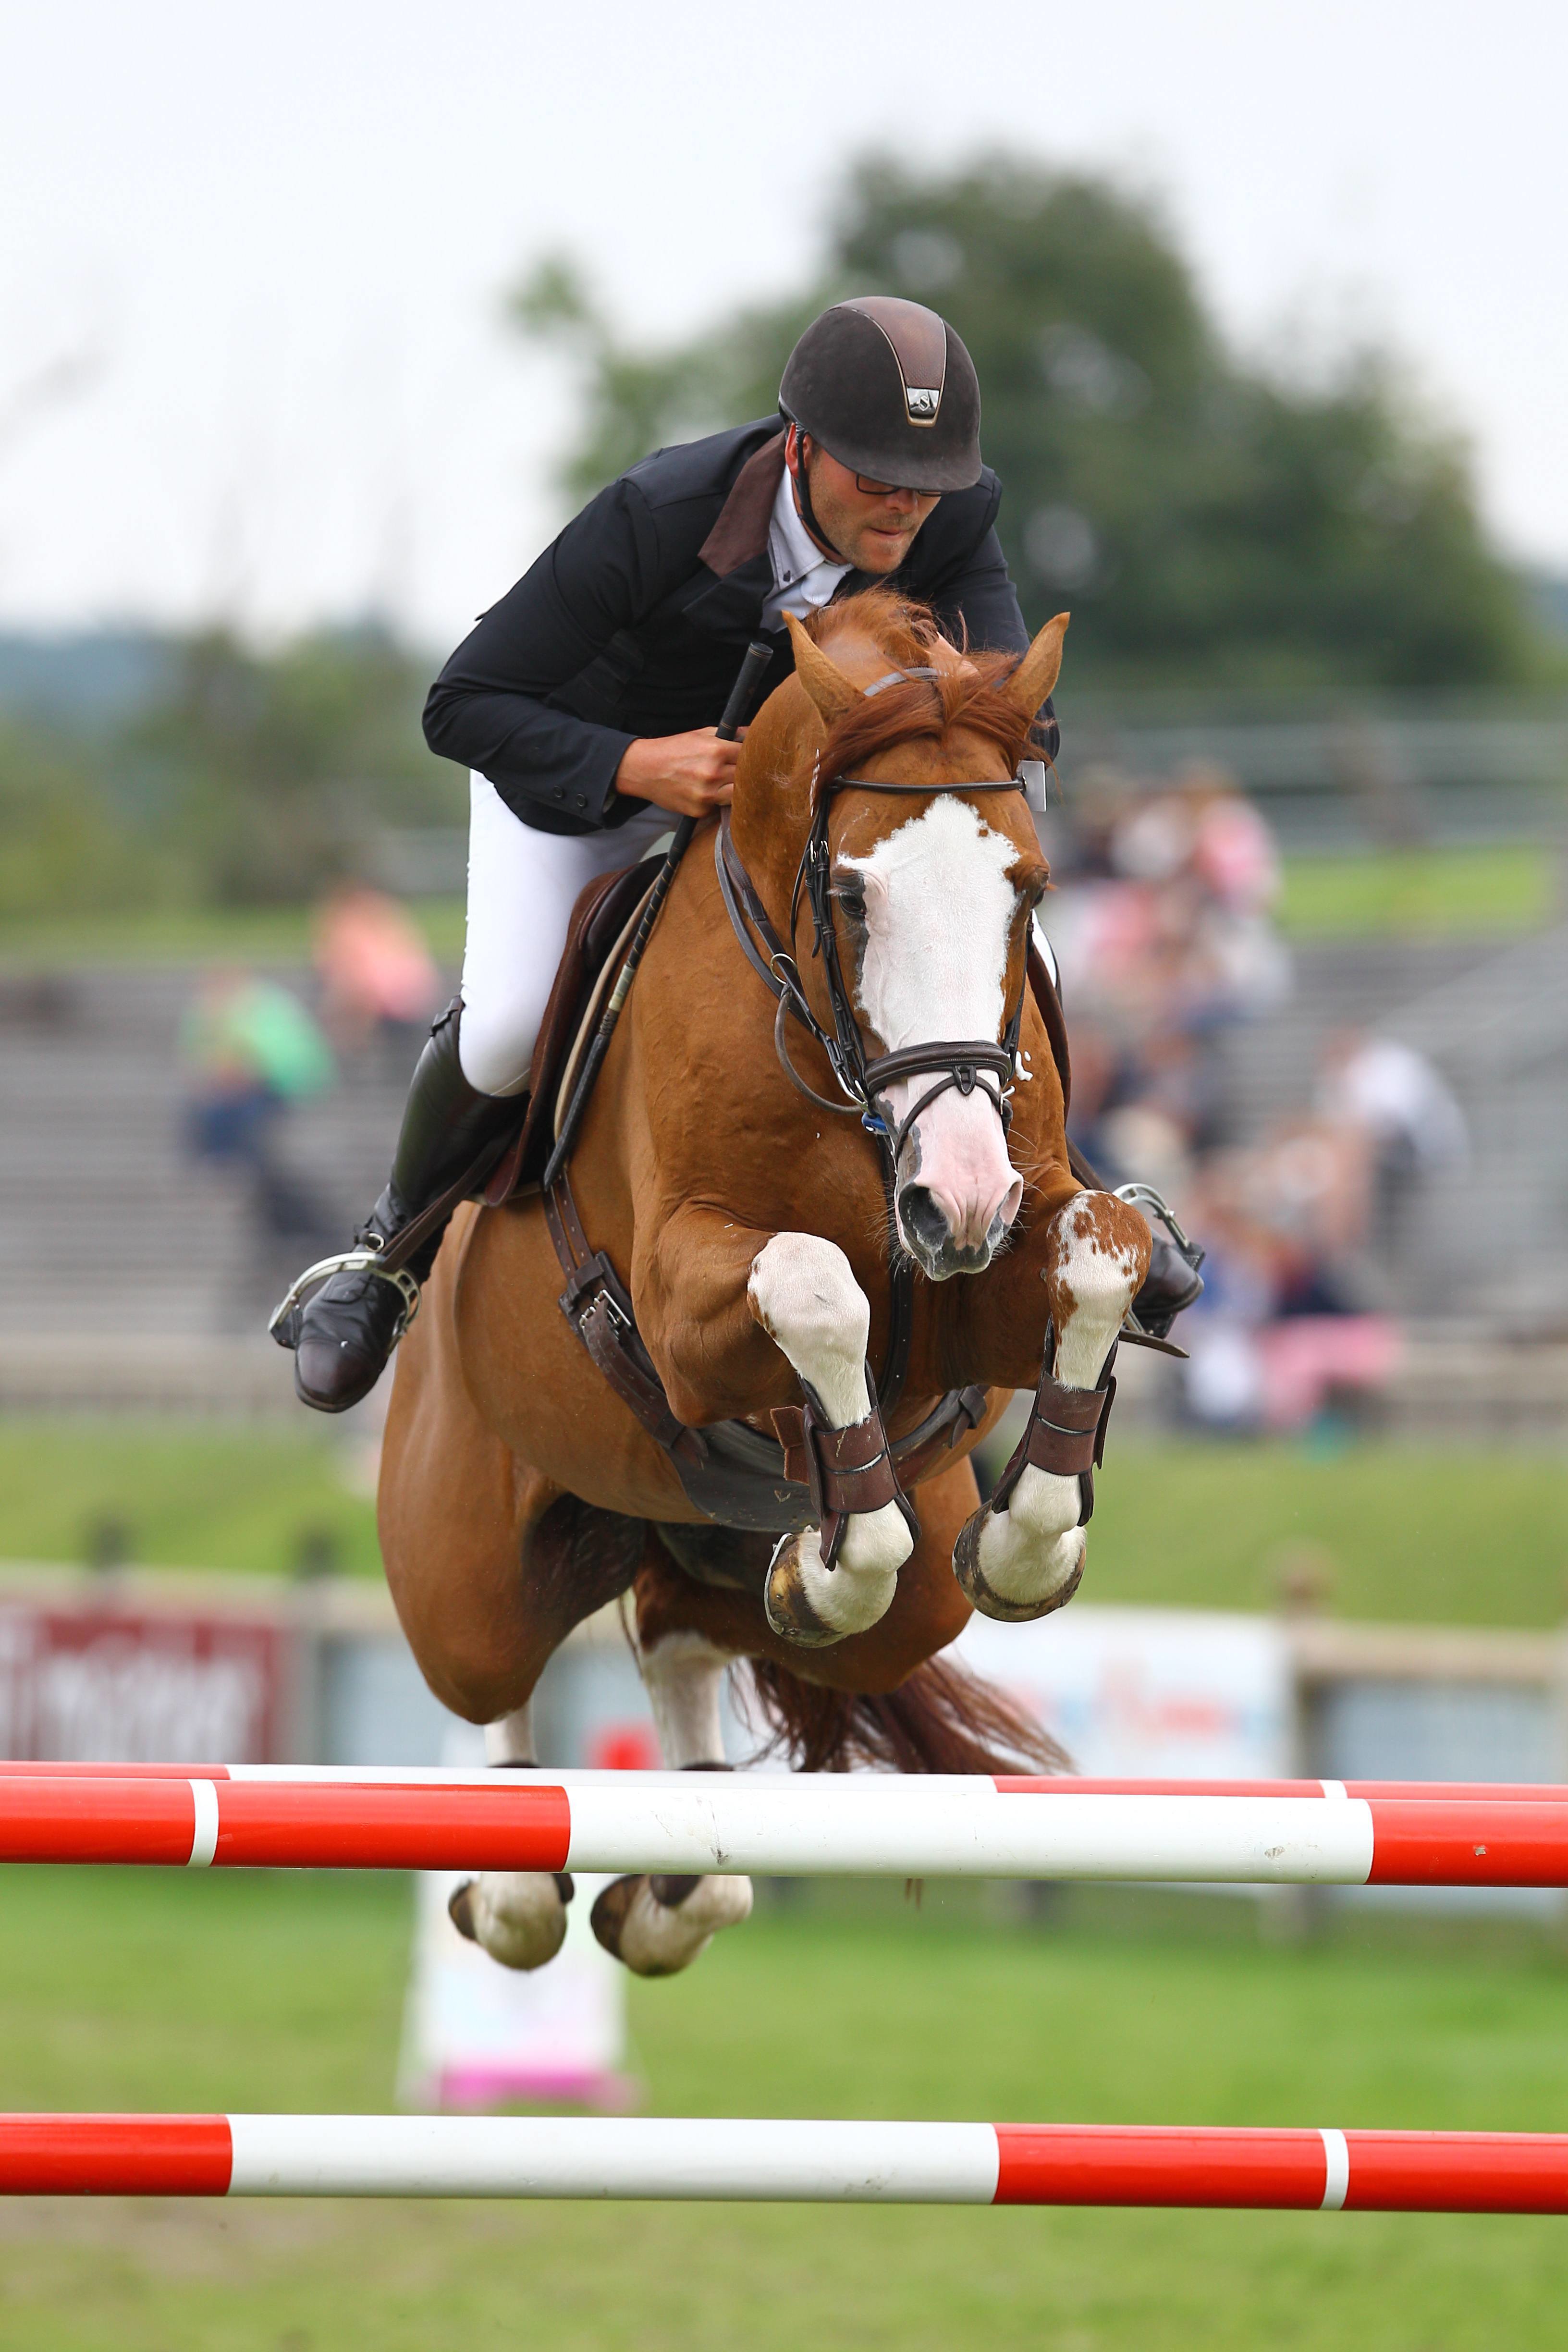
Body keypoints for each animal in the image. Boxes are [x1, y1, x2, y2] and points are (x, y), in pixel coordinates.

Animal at [374, 583, 1147, 1966]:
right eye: (849, 895)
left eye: (1031, 888)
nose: (956, 1199)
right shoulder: (686, 1305)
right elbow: (816, 1286)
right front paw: (843, 1544)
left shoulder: (996, 1261)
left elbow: (1108, 1254)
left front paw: (1018, 1544)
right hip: (462, 1557)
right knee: (493, 1685)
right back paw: (512, 1875)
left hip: (758, 1573)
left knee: (690, 1635)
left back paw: (681, 1870)